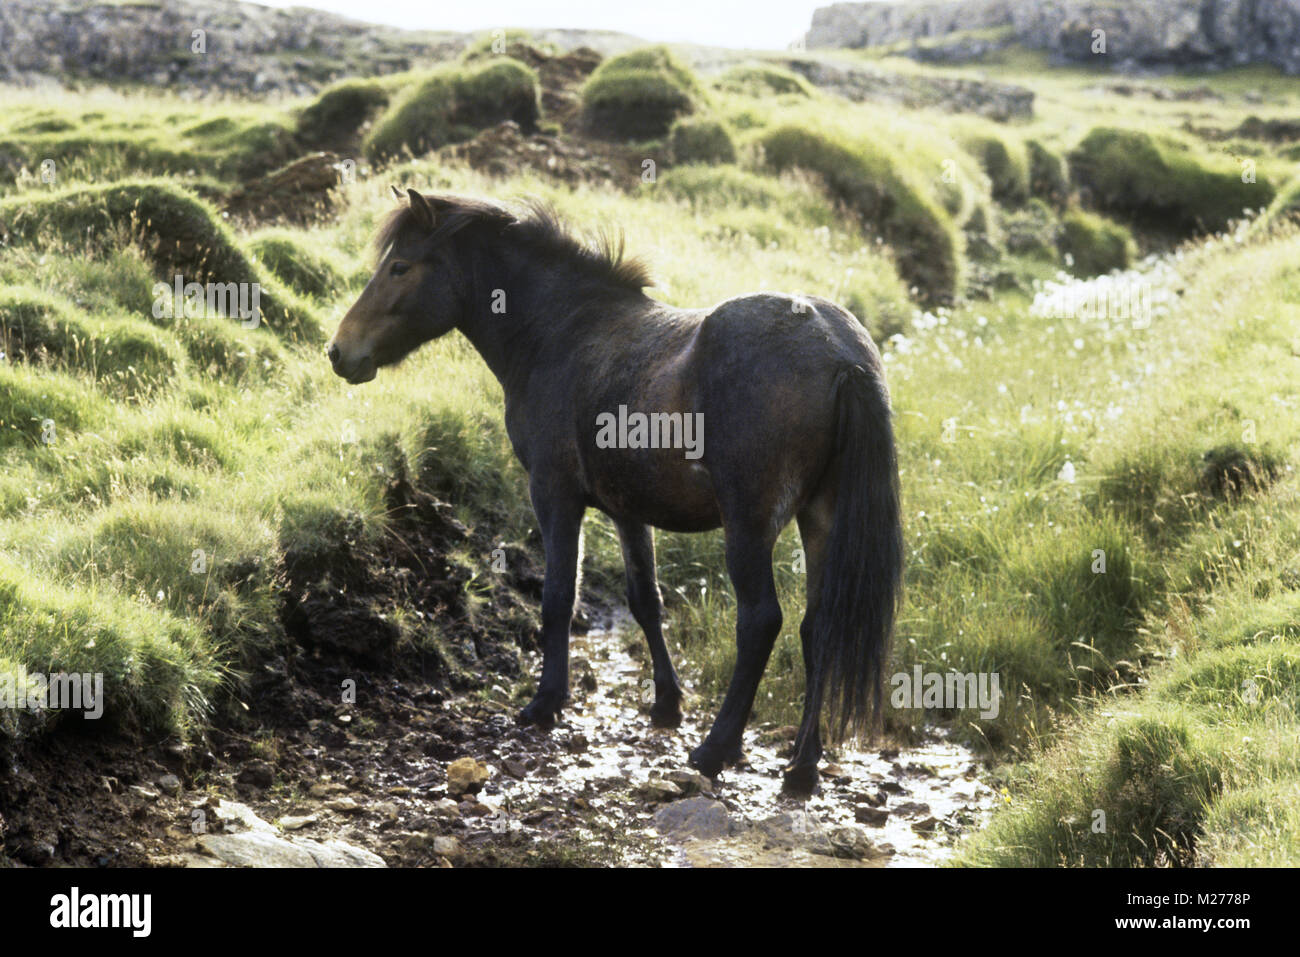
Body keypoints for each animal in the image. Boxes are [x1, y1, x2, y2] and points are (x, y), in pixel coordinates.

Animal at [327, 188, 904, 790]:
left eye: (399, 266)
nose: (339, 351)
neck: (562, 331)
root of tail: (841, 357)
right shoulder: (630, 509)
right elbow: (645, 600)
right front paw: (667, 703)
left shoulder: (553, 494)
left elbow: (559, 597)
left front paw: (546, 703)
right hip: (819, 519)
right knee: (820, 629)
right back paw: (802, 765)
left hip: (749, 525)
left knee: (761, 622)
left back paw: (717, 748)